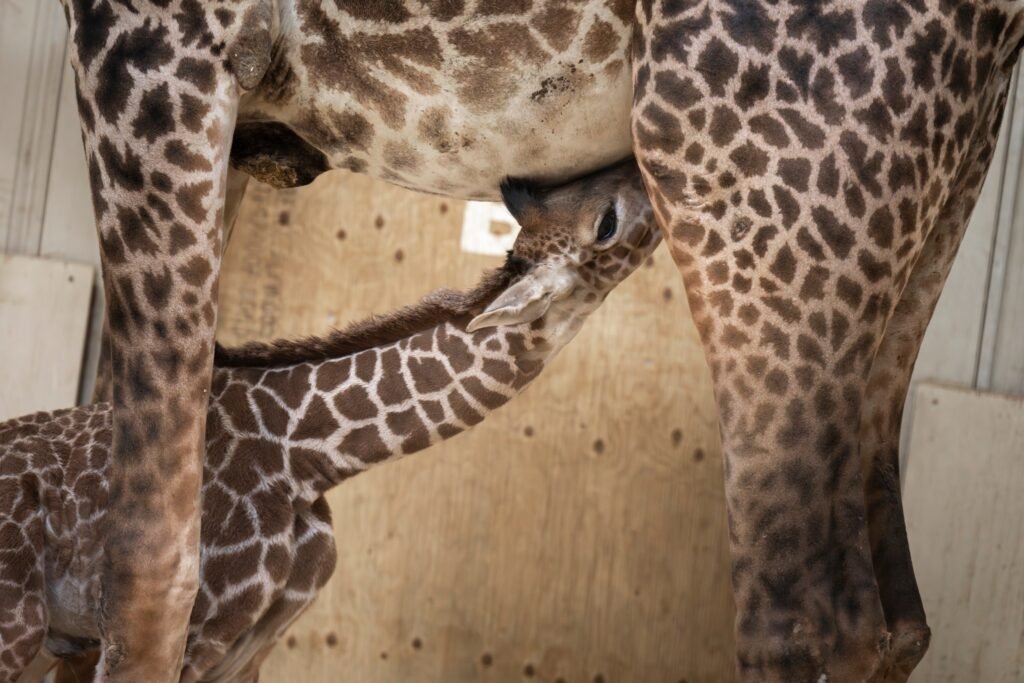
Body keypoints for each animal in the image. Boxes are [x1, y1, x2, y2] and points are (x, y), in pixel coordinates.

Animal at [0, 160, 659, 683]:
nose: (643, 170)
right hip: (19, 624)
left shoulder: (253, 644)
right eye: (607, 222)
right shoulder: (193, 628)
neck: (307, 457)